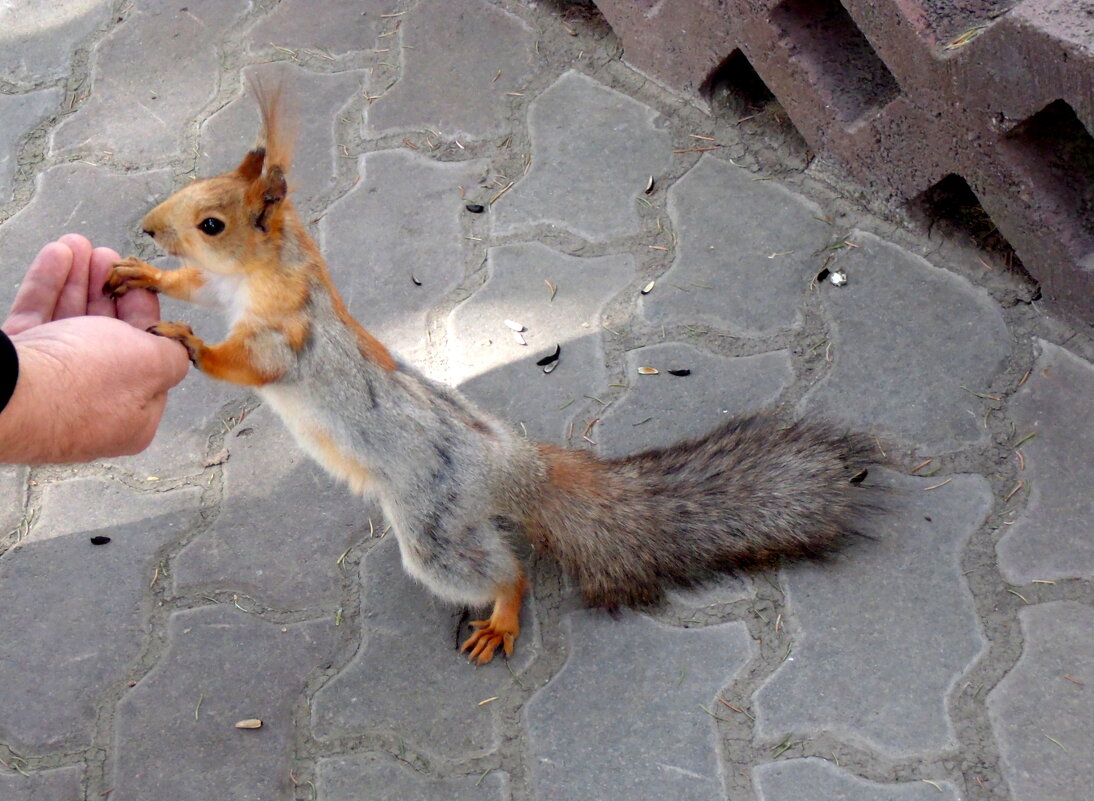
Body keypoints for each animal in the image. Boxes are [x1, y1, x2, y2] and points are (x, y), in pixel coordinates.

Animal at [104, 84, 879, 665]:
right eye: (193, 189)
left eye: (211, 222)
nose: (148, 227)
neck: (262, 274)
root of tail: (515, 468)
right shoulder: (226, 291)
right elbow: (196, 288)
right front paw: (143, 275)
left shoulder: (287, 333)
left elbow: (248, 362)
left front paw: (184, 339)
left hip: (435, 529)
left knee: (506, 570)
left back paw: (502, 615)